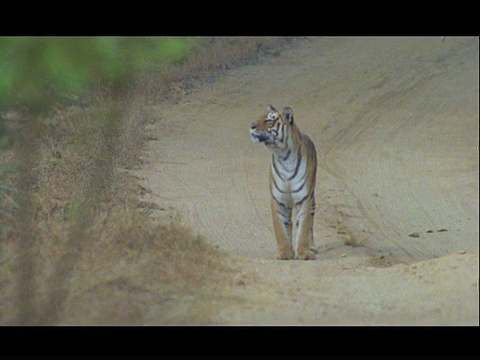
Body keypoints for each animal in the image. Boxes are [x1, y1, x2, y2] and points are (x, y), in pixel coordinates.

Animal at [249, 105, 316, 260]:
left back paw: (312, 247)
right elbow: (280, 228)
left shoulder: (303, 198)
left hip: (312, 197)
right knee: (289, 223)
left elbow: (303, 227)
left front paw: (303, 252)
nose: (252, 126)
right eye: (258, 116)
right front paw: (285, 252)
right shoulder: (278, 199)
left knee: (310, 222)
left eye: (269, 120)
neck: (284, 156)